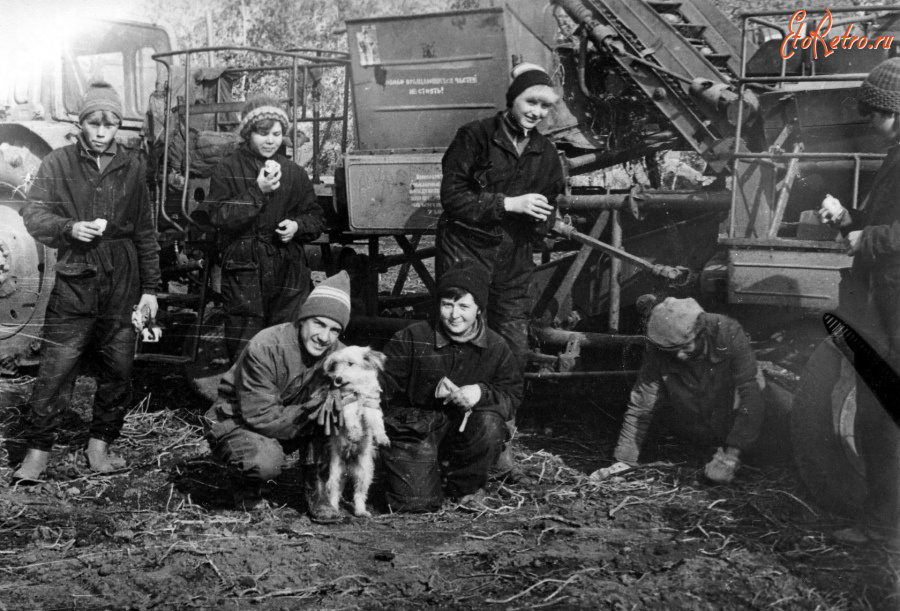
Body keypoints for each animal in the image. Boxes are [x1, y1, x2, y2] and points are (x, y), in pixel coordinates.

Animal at [318, 344, 388, 516]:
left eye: (351, 364)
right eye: (336, 365)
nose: (337, 379)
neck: (357, 391)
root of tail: (348, 467)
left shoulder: (372, 406)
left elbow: (377, 423)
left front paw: (382, 438)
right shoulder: (345, 407)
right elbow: (352, 421)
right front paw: (355, 434)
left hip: (365, 473)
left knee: (359, 493)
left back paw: (361, 511)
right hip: (334, 472)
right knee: (333, 491)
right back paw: (334, 509)